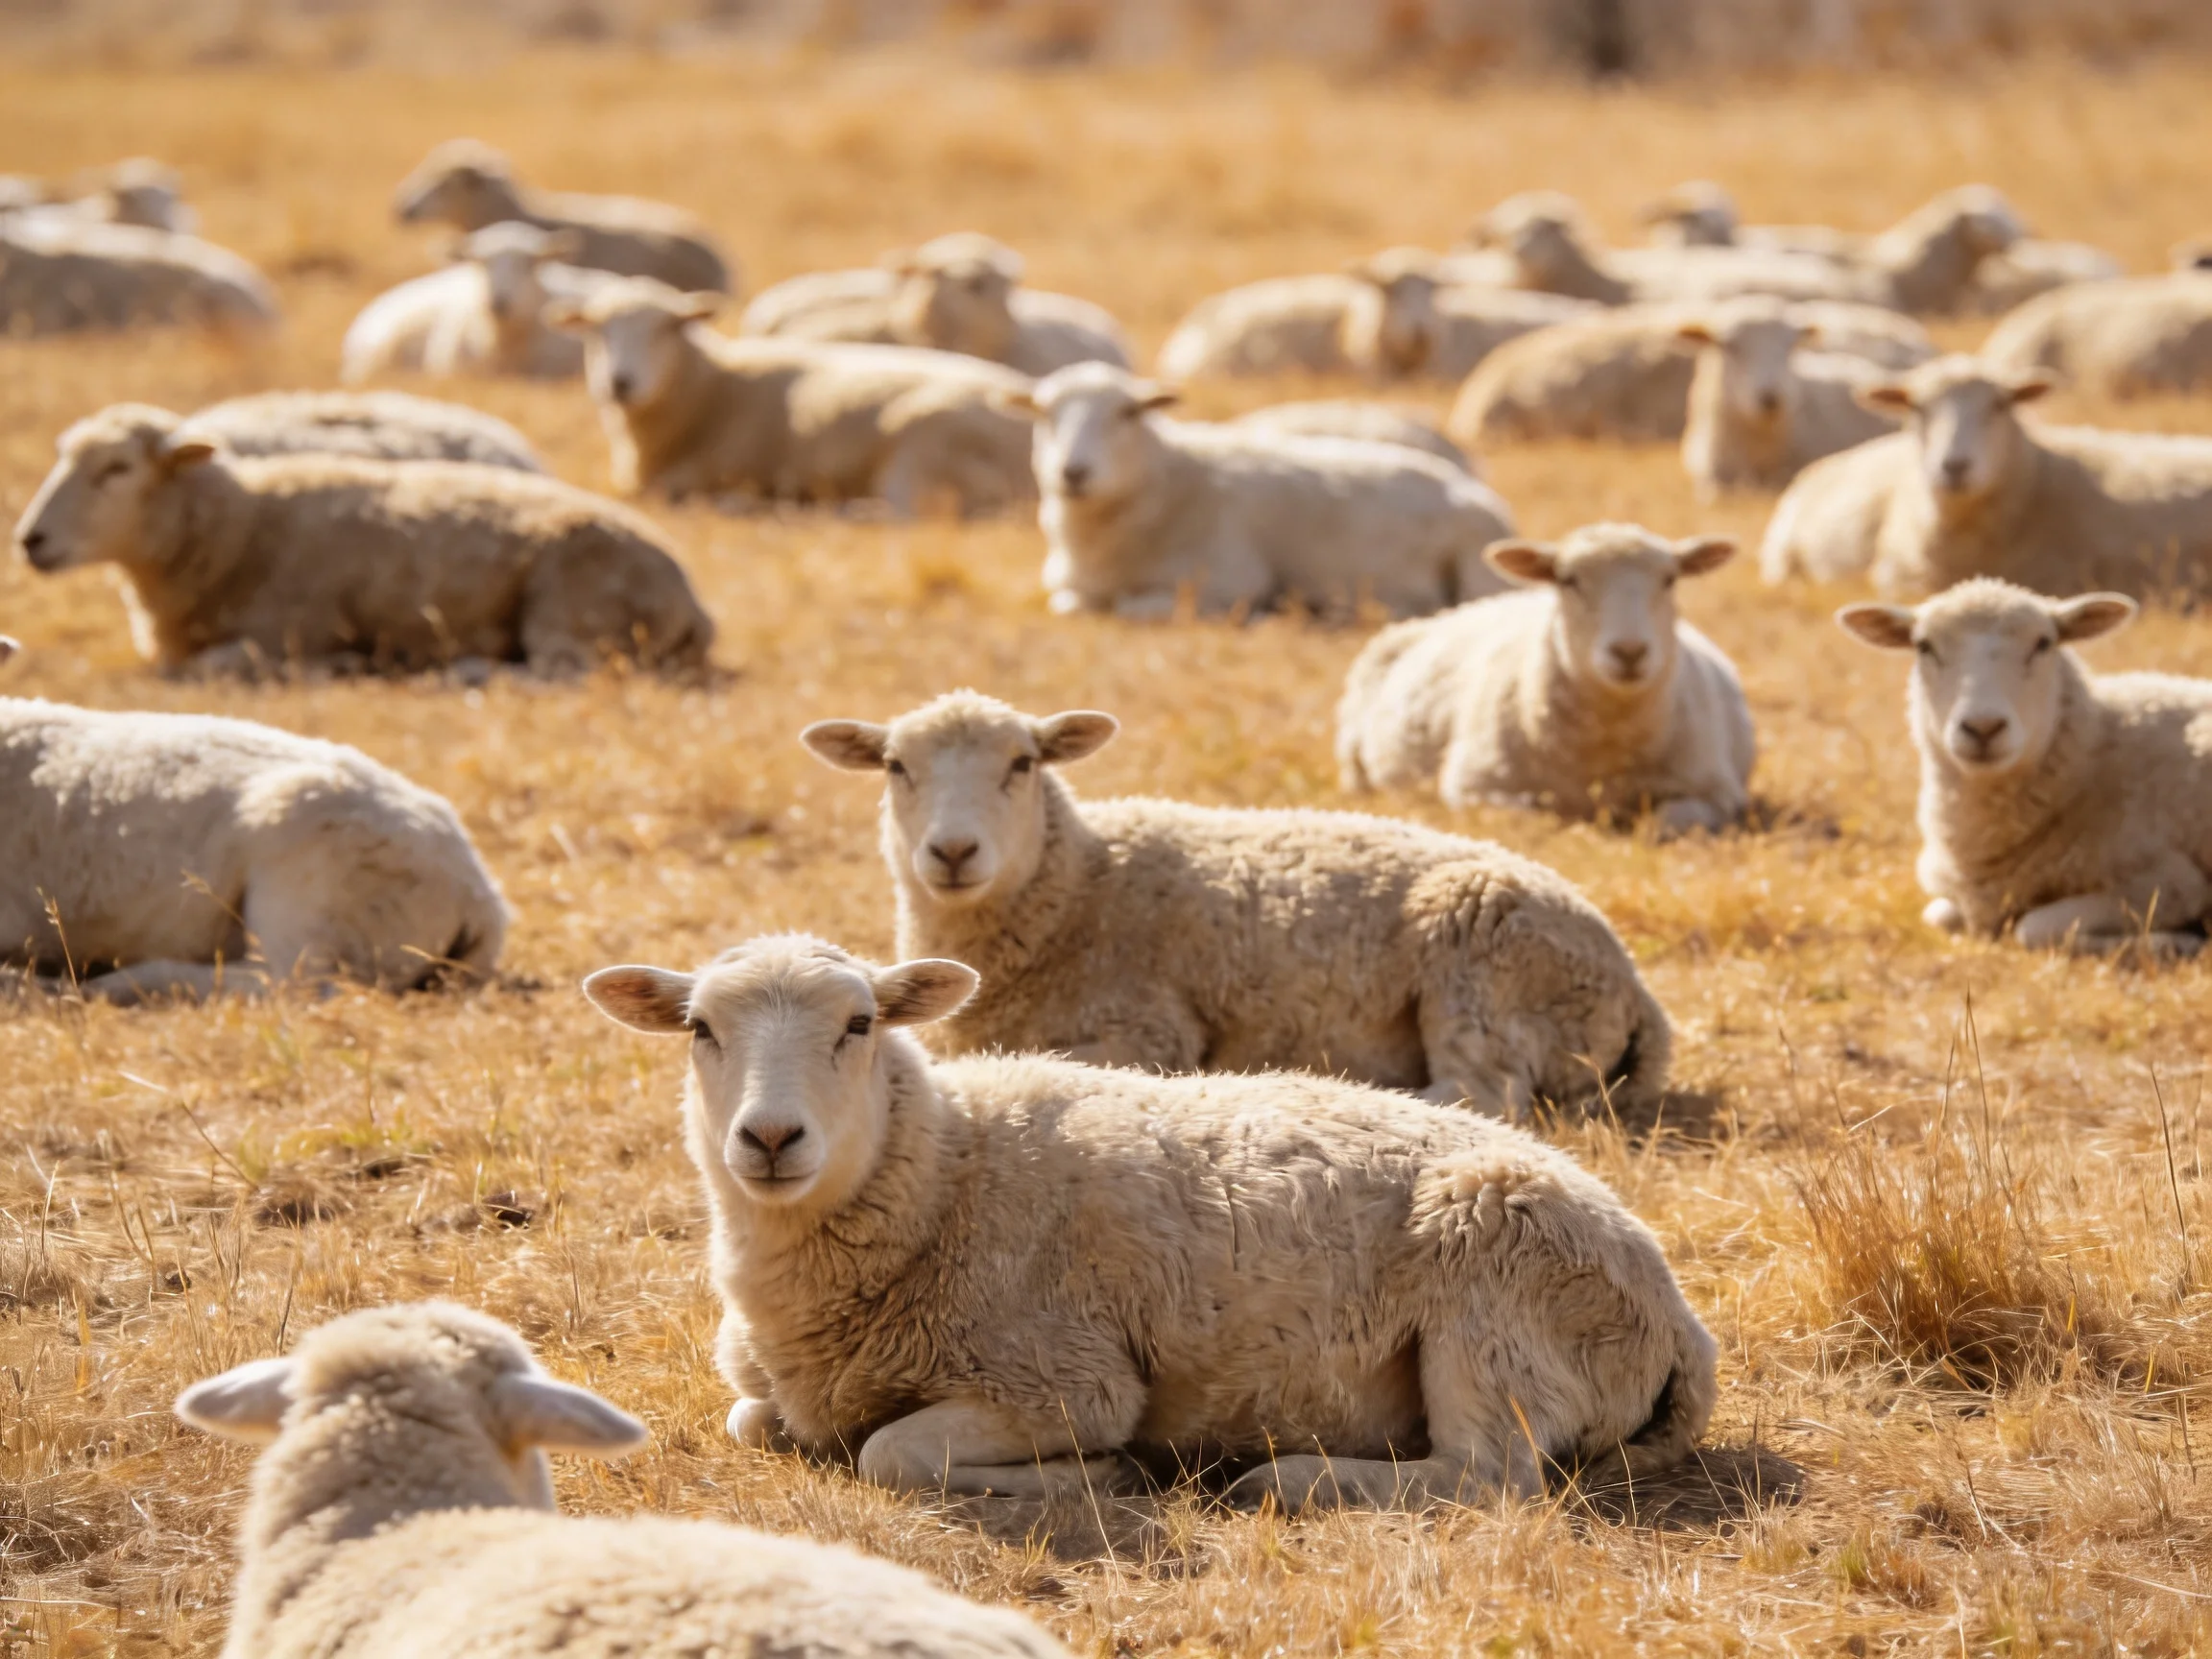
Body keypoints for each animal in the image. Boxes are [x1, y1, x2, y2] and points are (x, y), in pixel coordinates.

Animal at [13, 404, 712, 678]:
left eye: (117, 469)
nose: (29, 540)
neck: (240, 527)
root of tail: (693, 598)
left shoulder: (292, 631)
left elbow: (208, 666)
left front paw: (343, 666)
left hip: (570, 610)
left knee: (558, 673)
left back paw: (467, 671)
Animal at [585, 933, 1716, 1513]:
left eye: (859, 1025)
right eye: (700, 1029)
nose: (771, 1138)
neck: (949, 1177)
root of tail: (1679, 1318)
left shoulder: (1065, 1380)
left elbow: (888, 1456)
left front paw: (1094, 1475)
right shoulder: (777, 1392)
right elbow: (754, 1420)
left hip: (1498, 1305)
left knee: (1486, 1477)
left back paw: (1292, 1479)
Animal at [798, 691, 1671, 1121]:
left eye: (1023, 763)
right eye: (894, 766)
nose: (952, 853)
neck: (1079, 885)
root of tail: (1636, 985)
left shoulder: (1146, 1027)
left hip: (1482, 969)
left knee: (1485, 1092)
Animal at [1337, 524, 1753, 837]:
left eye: (1670, 579)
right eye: (1568, 580)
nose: (1629, 652)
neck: (1606, 746)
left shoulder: (1715, 793)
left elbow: (1663, 824)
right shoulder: (1476, 787)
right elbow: (1539, 816)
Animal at [1837, 578, 2212, 955]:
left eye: (2043, 643)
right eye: (1924, 646)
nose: (1983, 727)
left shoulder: (2166, 881)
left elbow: (2032, 927)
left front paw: (2173, 941)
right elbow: (1939, 915)